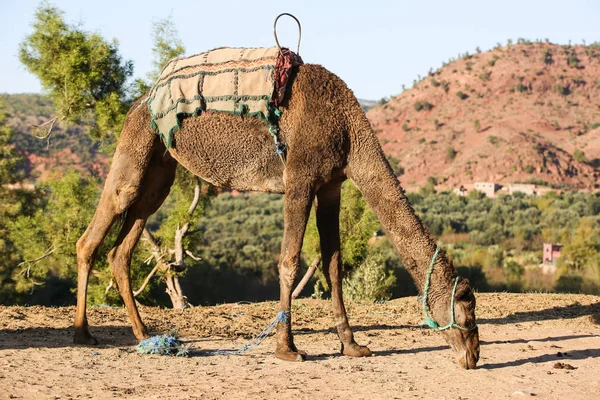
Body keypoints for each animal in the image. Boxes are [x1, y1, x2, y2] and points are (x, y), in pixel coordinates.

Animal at [75, 61, 480, 368]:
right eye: (467, 306)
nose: (474, 356)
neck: (350, 132)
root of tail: (140, 101)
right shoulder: (299, 178)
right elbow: (289, 260)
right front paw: (287, 349)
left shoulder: (331, 185)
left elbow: (333, 264)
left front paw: (353, 346)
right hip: (135, 150)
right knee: (94, 233)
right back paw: (83, 333)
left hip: (160, 173)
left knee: (121, 249)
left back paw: (145, 335)